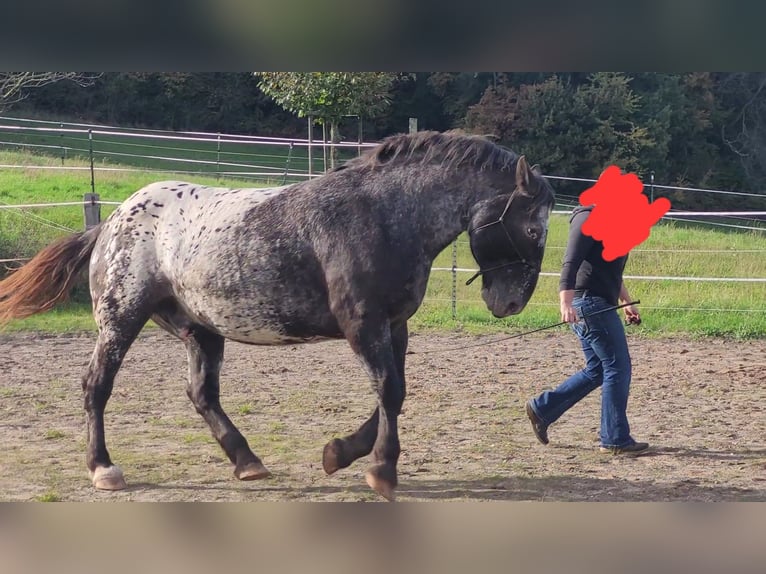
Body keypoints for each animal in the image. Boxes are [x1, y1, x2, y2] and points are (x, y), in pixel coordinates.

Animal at [0, 129, 556, 500]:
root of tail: (114, 219)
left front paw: (340, 453)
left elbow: (393, 395)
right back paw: (104, 469)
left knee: (202, 395)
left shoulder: (393, 325)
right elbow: (390, 391)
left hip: (199, 329)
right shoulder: (362, 324)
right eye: (533, 228)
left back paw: (248, 463)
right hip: (121, 319)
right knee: (96, 386)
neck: (384, 215)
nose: (509, 304)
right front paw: (380, 470)